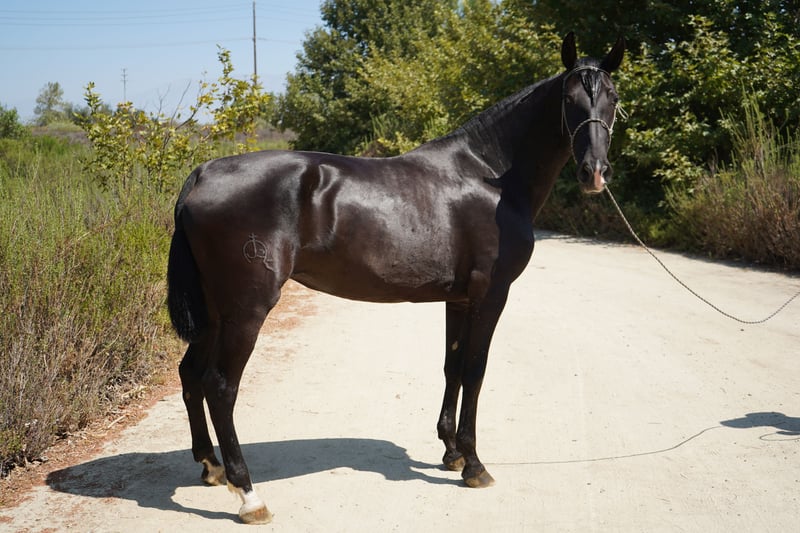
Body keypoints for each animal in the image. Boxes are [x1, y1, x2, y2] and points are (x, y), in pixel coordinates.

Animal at [167, 32, 625, 524]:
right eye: (569, 99)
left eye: (613, 97)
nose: (595, 173)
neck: (491, 176)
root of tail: (203, 174)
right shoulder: (490, 295)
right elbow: (476, 371)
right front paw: (474, 464)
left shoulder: (459, 299)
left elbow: (453, 366)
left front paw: (451, 453)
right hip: (246, 311)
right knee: (220, 386)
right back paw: (249, 494)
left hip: (216, 311)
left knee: (191, 373)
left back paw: (211, 465)